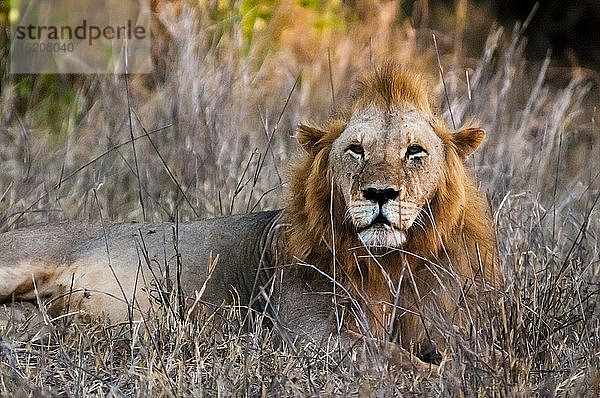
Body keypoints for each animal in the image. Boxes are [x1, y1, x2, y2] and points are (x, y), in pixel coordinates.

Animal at [0, 63, 500, 374]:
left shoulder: (452, 327)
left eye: (415, 152)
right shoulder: (311, 334)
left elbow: (467, 360)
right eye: (356, 150)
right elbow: (400, 361)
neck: (389, 263)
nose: (380, 194)